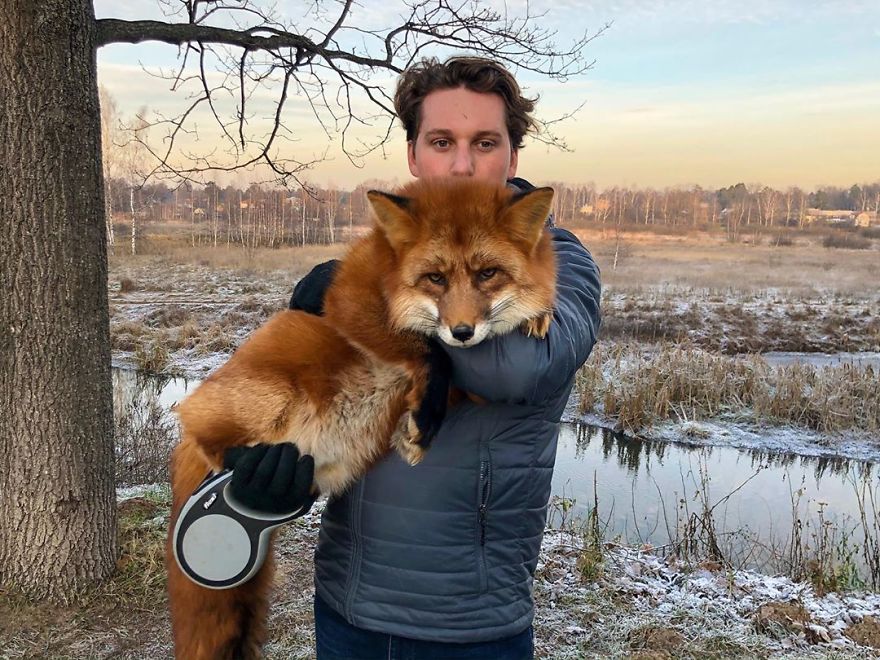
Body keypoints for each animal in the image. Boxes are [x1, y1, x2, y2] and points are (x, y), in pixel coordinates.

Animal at [165, 178, 557, 659]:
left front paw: (539, 314)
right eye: (435, 278)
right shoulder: (352, 299)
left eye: (488, 274)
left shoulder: (476, 384)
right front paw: (426, 421)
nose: (463, 332)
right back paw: (239, 478)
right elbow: (430, 350)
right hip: (277, 374)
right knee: (208, 438)